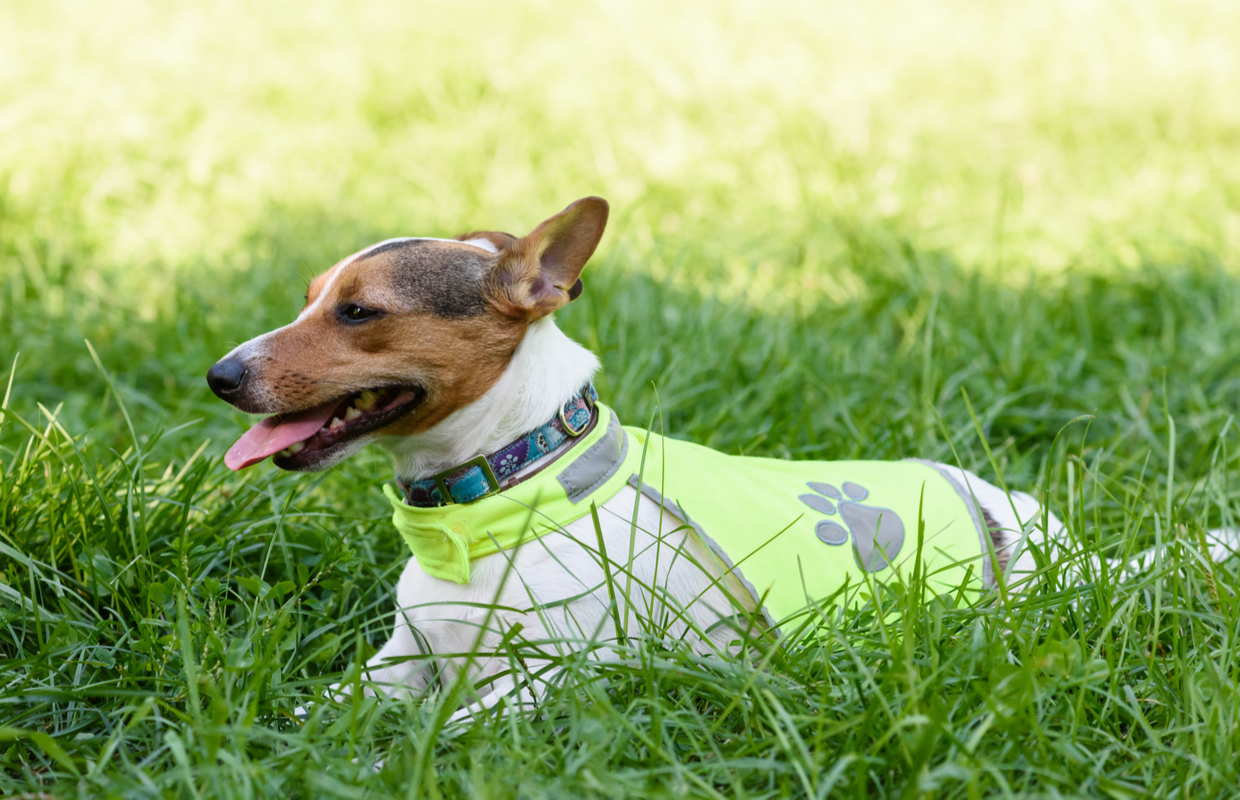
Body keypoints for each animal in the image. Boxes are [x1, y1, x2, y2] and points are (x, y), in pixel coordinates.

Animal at [208, 195, 1235, 714]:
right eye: (310, 296)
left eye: (359, 313)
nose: (219, 374)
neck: (496, 497)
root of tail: (1055, 547)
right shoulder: (398, 662)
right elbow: (316, 712)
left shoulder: (547, 679)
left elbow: (448, 731)